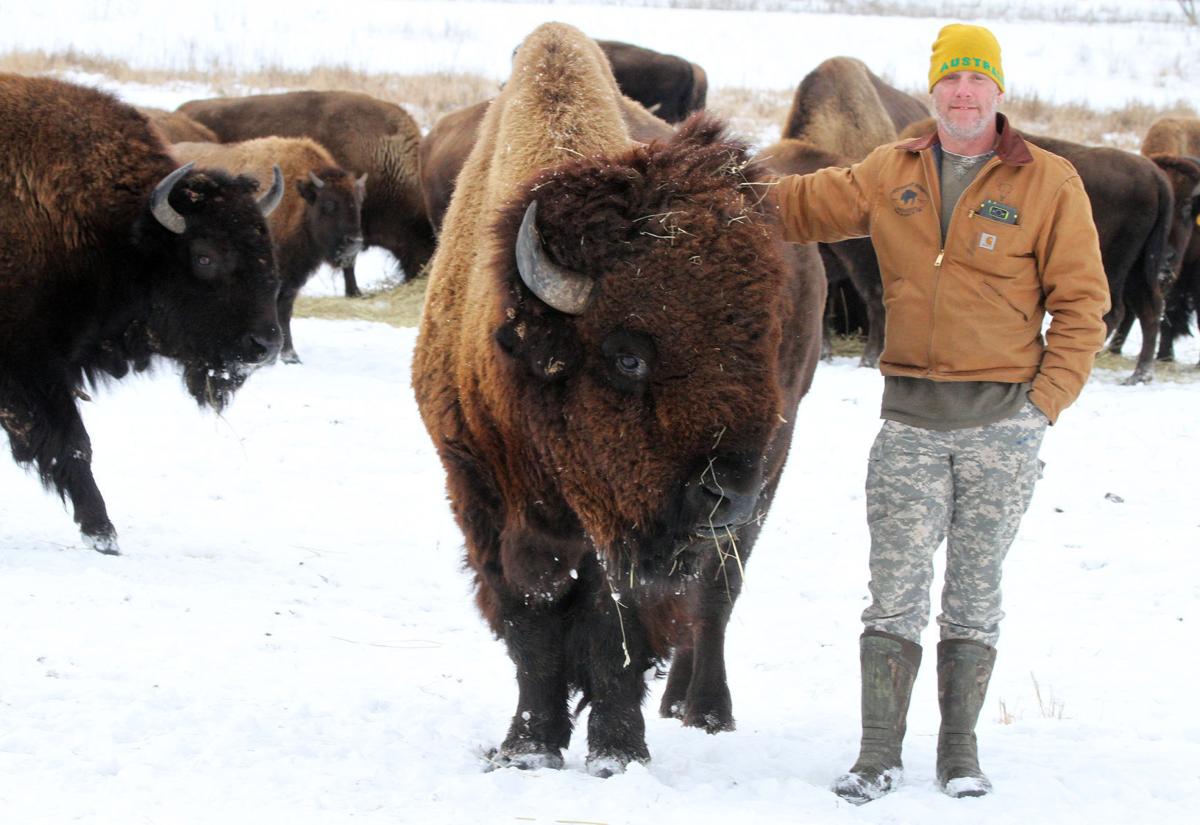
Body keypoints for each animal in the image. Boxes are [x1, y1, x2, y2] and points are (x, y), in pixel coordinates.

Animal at [0, 75, 283, 554]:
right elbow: (73, 444)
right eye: (204, 256)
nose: (264, 345)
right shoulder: (33, 369)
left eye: (266, 249)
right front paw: (104, 534)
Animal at [172, 137, 366, 363]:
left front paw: (290, 356)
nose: (354, 242)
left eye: (358, 203)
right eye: (328, 204)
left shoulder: (291, 281)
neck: (296, 200)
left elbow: (285, 312)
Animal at [412, 23, 824, 774]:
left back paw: (706, 710)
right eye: (628, 355)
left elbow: (615, 628)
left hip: (770, 473)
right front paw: (528, 747)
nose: (727, 490)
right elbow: (531, 621)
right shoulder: (479, 496)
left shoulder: (626, 529)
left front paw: (616, 753)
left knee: (716, 596)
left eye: (761, 339)